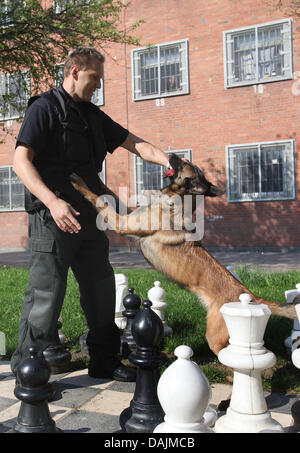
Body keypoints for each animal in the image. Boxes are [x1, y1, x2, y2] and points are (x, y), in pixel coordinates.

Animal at [71, 154, 298, 354]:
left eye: (184, 164)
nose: (171, 154)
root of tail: (252, 297)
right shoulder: (127, 215)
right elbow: (106, 193)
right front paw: (97, 180)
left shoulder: (122, 224)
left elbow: (98, 200)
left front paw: (78, 182)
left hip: (216, 337)